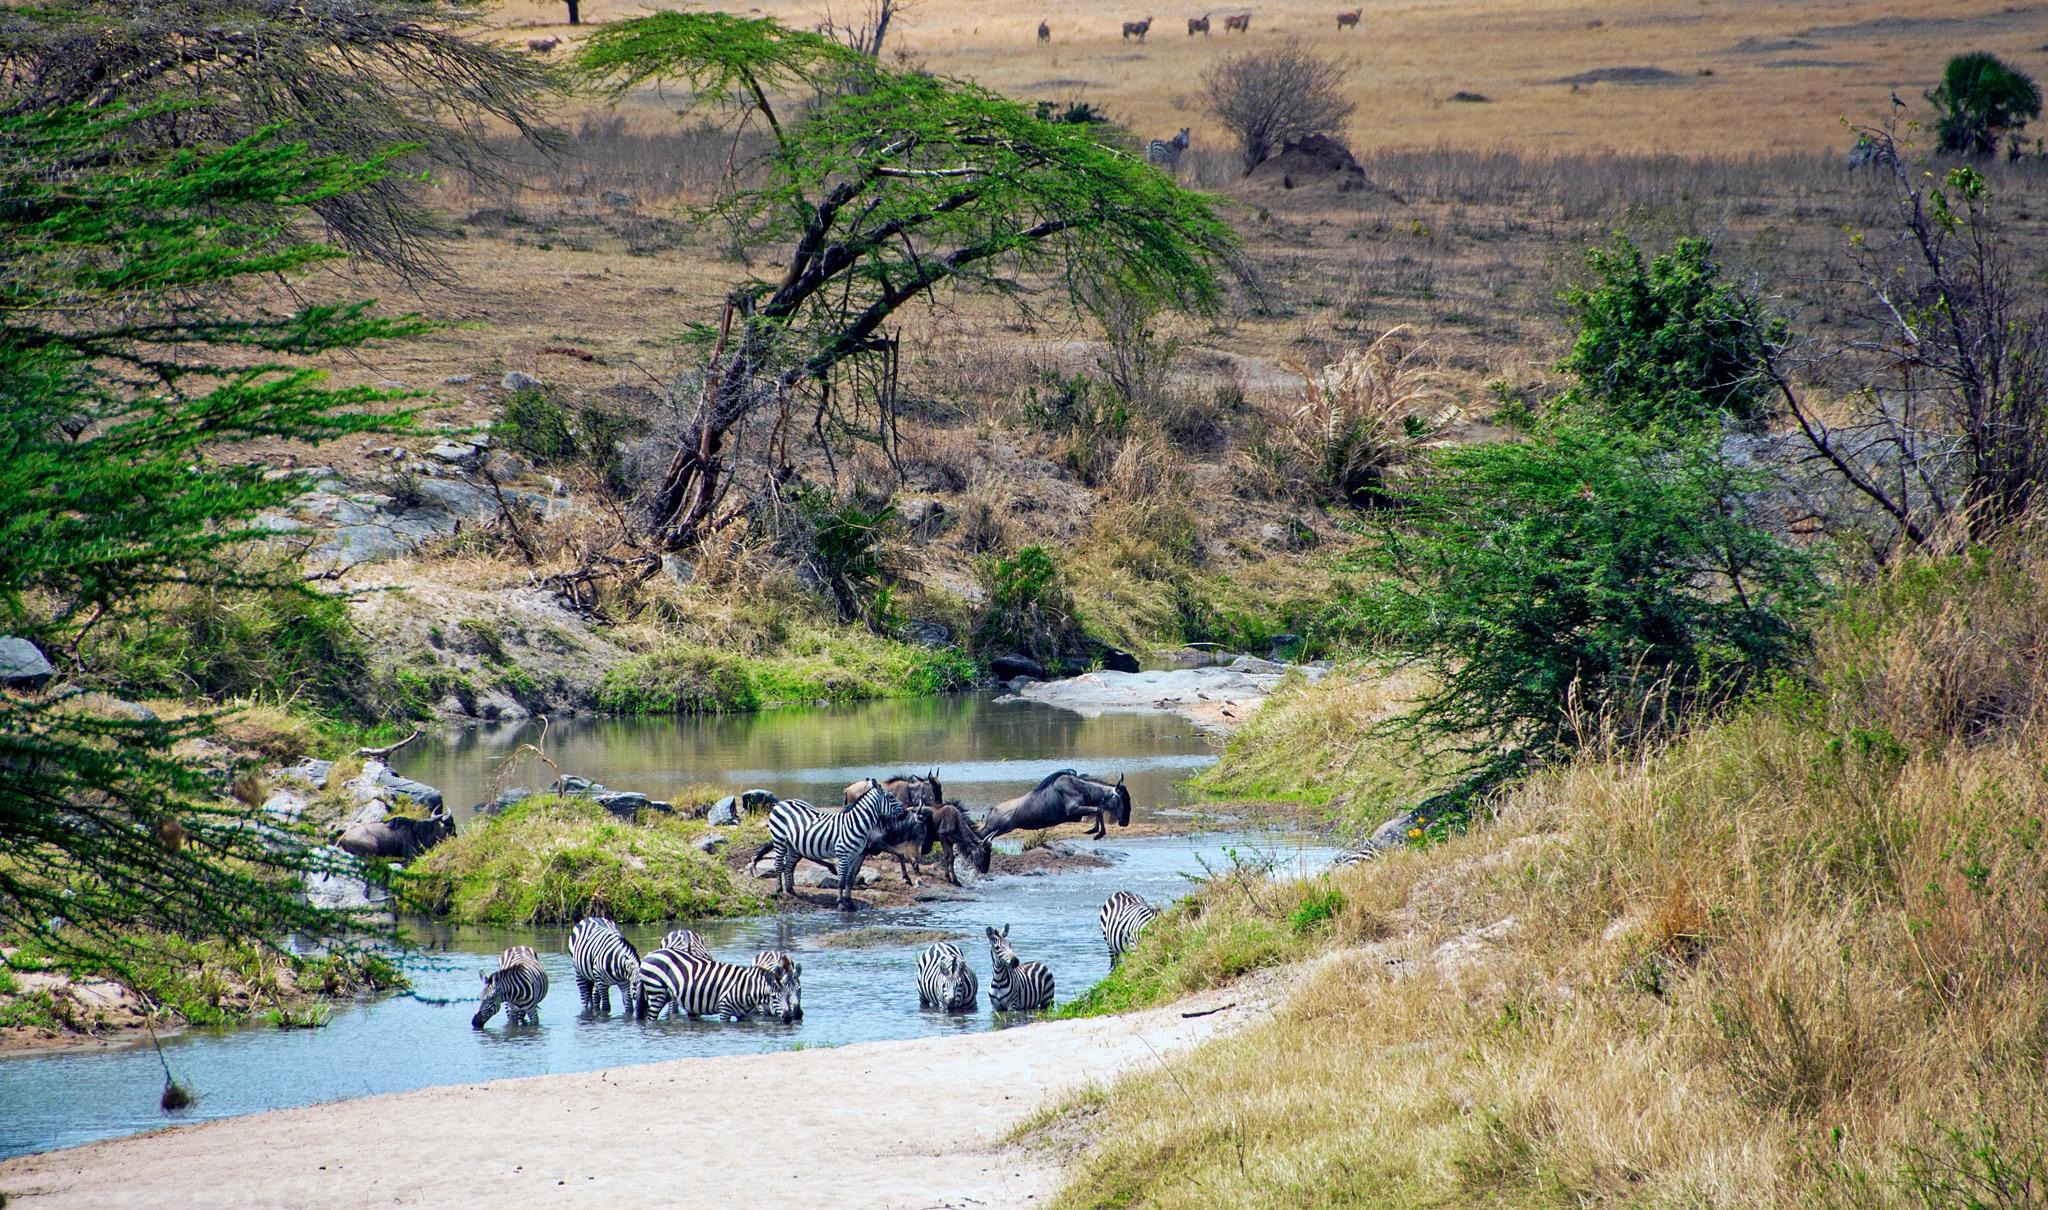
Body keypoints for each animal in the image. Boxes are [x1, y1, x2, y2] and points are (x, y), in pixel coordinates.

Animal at [634, 945, 794, 1023]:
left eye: (788, 995)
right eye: (774, 997)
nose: (789, 1018)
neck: (746, 988)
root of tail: (651, 953)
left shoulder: (743, 1015)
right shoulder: (725, 1008)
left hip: (664, 994)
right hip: (656, 991)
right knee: (651, 1018)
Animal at [757, 786, 909, 909]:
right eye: (891, 797)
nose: (906, 813)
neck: (855, 823)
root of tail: (782, 802)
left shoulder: (855, 855)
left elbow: (850, 879)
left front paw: (850, 901)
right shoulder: (843, 855)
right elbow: (841, 881)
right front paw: (841, 903)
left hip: (793, 845)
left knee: (788, 866)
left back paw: (791, 890)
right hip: (779, 840)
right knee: (778, 865)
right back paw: (779, 891)